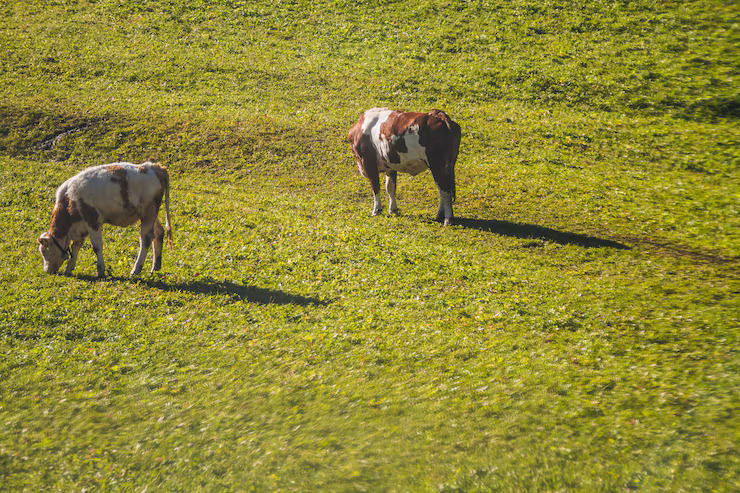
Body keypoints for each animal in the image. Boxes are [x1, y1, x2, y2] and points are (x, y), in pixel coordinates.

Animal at [37, 162, 173, 278]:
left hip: (148, 215)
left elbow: (97, 246)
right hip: (151, 215)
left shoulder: (93, 221)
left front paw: (101, 270)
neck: (69, 200)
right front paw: (69, 268)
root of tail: (154, 167)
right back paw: (155, 267)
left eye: (44, 251)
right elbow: (76, 246)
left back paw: (136, 269)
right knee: (158, 233)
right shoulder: (81, 226)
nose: (47, 271)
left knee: (146, 240)